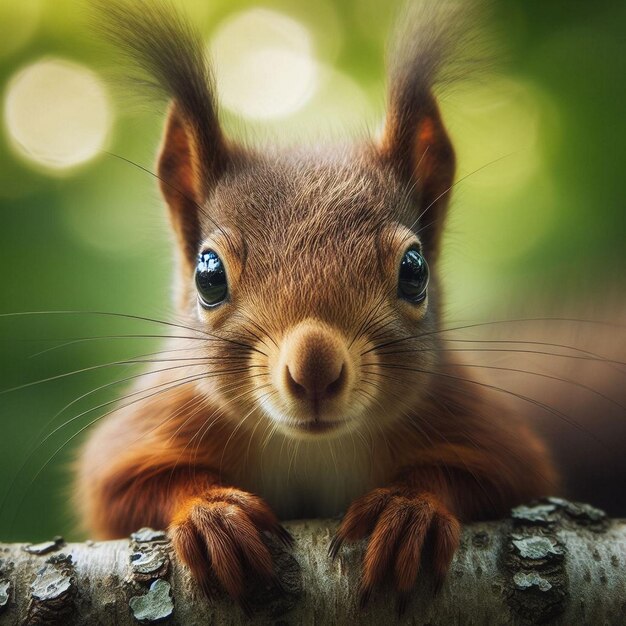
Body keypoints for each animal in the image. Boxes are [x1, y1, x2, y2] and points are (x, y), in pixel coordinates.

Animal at [75, 0, 560, 604]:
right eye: (209, 275)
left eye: (415, 270)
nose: (314, 369)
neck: (310, 447)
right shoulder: (150, 425)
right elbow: (118, 487)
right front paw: (212, 514)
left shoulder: (489, 434)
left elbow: (495, 477)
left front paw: (409, 510)